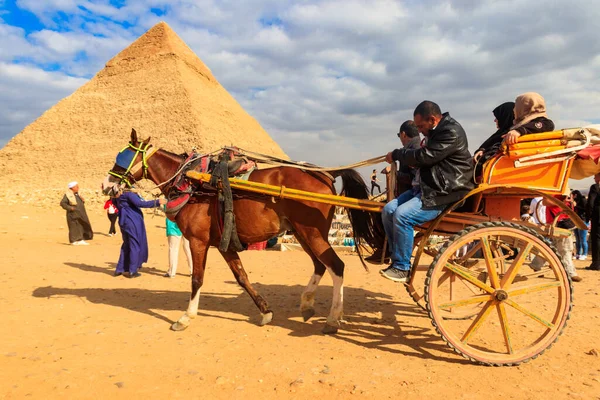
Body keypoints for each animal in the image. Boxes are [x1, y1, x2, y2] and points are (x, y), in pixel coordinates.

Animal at [103, 130, 384, 332]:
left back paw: (333, 318)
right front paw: (265, 311)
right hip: (303, 233)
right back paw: (307, 304)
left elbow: (197, 279)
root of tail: (326, 174)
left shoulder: (198, 241)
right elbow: (242, 277)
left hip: (311, 232)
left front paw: (185, 317)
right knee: (319, 265)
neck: (191, 182)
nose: (106, 184)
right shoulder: (225, 242)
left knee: (336, 266)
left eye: (122, 157)